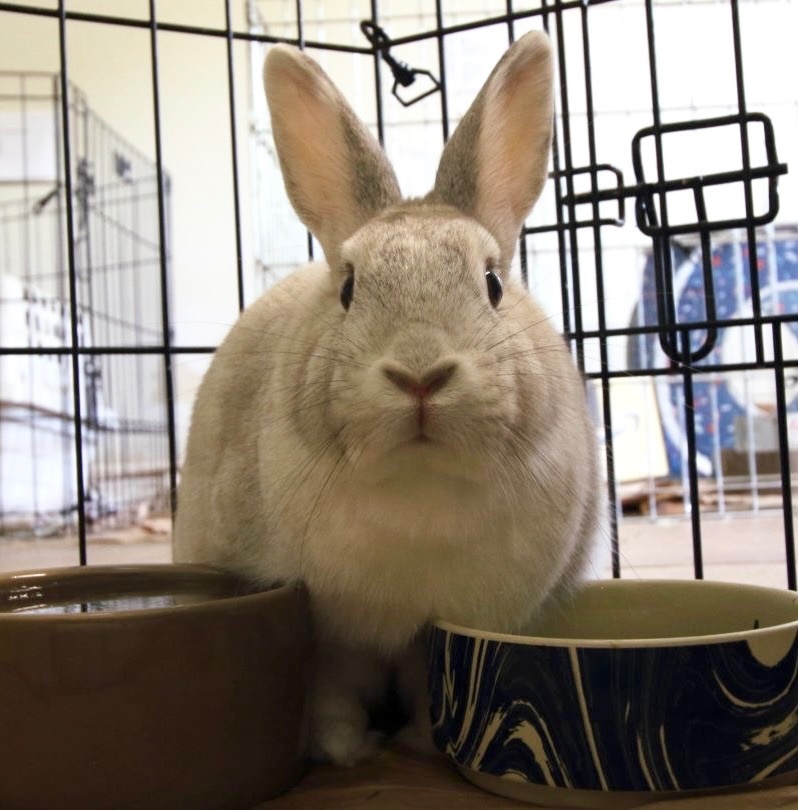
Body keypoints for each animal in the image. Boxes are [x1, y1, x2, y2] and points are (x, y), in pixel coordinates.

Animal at [173, 30, 603, 767]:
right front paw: (347, 750)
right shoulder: (327, 627)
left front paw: (426, 745)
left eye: (493, 283)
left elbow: (433, 686)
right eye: (348, 288)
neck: (419, 488)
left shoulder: (441, 628)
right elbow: (331, 689)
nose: (420, 375)